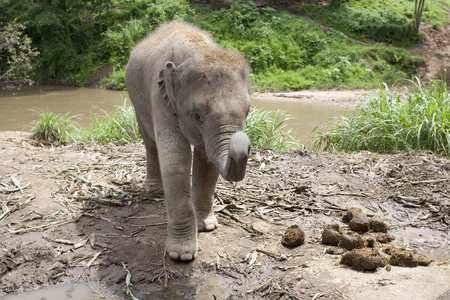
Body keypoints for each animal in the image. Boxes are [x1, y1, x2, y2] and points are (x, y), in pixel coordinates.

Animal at [125, 20, 251, 260]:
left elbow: (207, 161)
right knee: (150, 142)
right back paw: (153, 189)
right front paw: (181, 255)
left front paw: (207, 227)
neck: (198, 48)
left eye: (248, 111)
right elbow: (176, 161)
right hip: (136, 99)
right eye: (196, 116)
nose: (243, 140)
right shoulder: (160, 97)